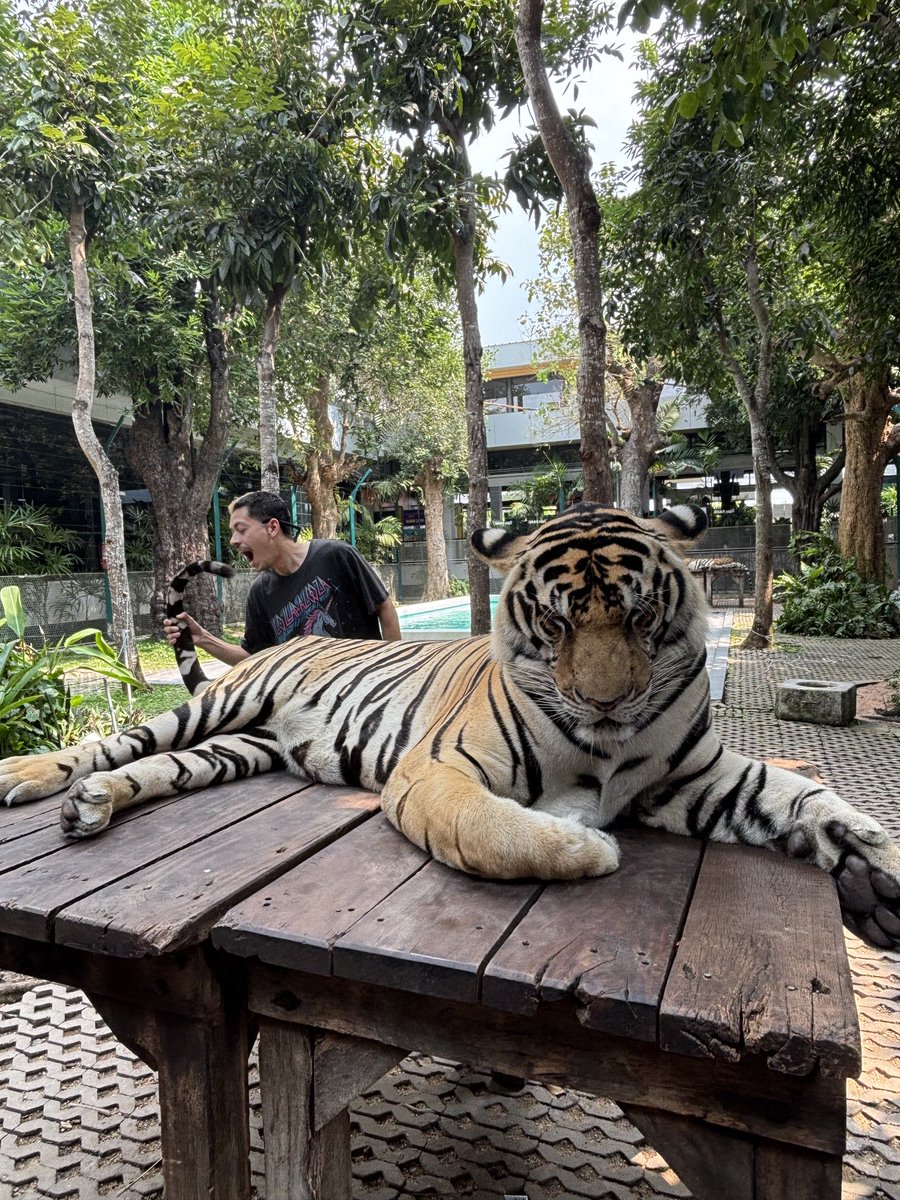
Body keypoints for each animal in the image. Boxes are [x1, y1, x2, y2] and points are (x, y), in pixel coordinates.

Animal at [2, 502, 899, 949]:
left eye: (642, 618)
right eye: (559, 623)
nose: (607, 703)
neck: (611, 746)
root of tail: (276, 647)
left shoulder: (693, 778)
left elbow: (797, 797)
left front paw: (875, 869)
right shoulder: (437, 767)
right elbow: (493, 828)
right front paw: (586, 845)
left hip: (237, 749)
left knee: (157, 769)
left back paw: (91, 807)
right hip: (215, 707)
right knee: (112, 742)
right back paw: (31, 776)